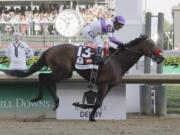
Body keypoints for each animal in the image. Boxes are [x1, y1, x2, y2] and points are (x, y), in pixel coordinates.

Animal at [0, 34, 165, 121]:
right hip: (64, 71)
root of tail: (50, 49)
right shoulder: (103, 83)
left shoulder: (109, 86)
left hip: (63, 72)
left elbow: (98, 103)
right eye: (152, 44)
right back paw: (42, 98)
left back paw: (55, 102)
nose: (161, 57)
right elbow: (97, 102)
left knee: (45, 78)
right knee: (43, 77)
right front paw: (83, 109)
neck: (118, 61)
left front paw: (89, 114)